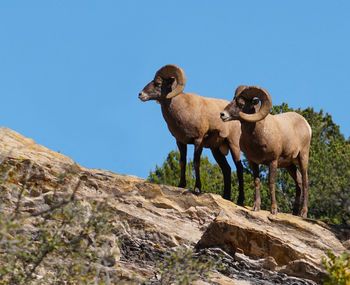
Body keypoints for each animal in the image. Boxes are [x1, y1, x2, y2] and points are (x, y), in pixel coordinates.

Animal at [139, 64, 243, 203]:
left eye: (158, 83)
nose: (140, 94)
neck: (183, 110)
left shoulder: (198, 141)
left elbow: (195, 163)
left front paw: (197, 189)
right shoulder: (180, 141)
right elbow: (182, 161)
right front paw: (181, 185)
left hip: (233, 145)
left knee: (239, 168)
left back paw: (240, 200)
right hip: (216, 150)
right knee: (227, 169)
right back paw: (226, 197)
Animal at [221, 85, 312, 216]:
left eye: (241, 104)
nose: (222, 114)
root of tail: (306, 125)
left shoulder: (273, 161)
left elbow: (271, 183)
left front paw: (273, 209)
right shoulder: (253, 162)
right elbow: (257, 182)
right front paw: (256, 206)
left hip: (303, 158)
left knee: (305, 182)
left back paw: (303, 212)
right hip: (289, 165)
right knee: (299, 181)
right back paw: (294, 212)